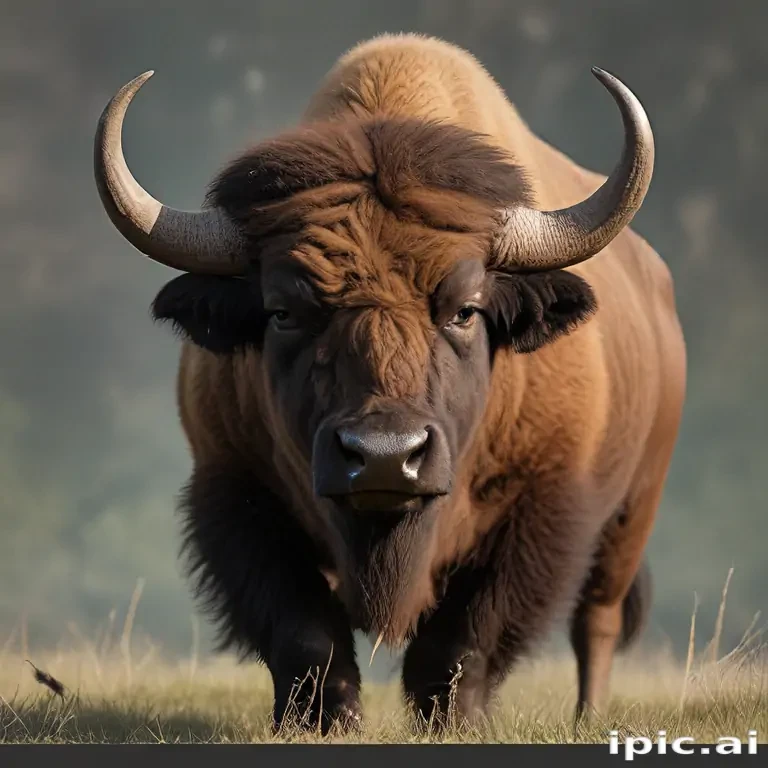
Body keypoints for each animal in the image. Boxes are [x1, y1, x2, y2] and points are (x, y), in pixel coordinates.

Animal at [93, 33, 686, 732]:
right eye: (283, 311)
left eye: (465, 309)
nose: (384, 456)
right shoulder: (234, 490)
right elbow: (305, 635)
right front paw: (322, 721)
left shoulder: (543, 505)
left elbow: (464, 640)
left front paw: (456, 722)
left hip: (632, 512)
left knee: (596, 621)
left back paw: (588, 719)